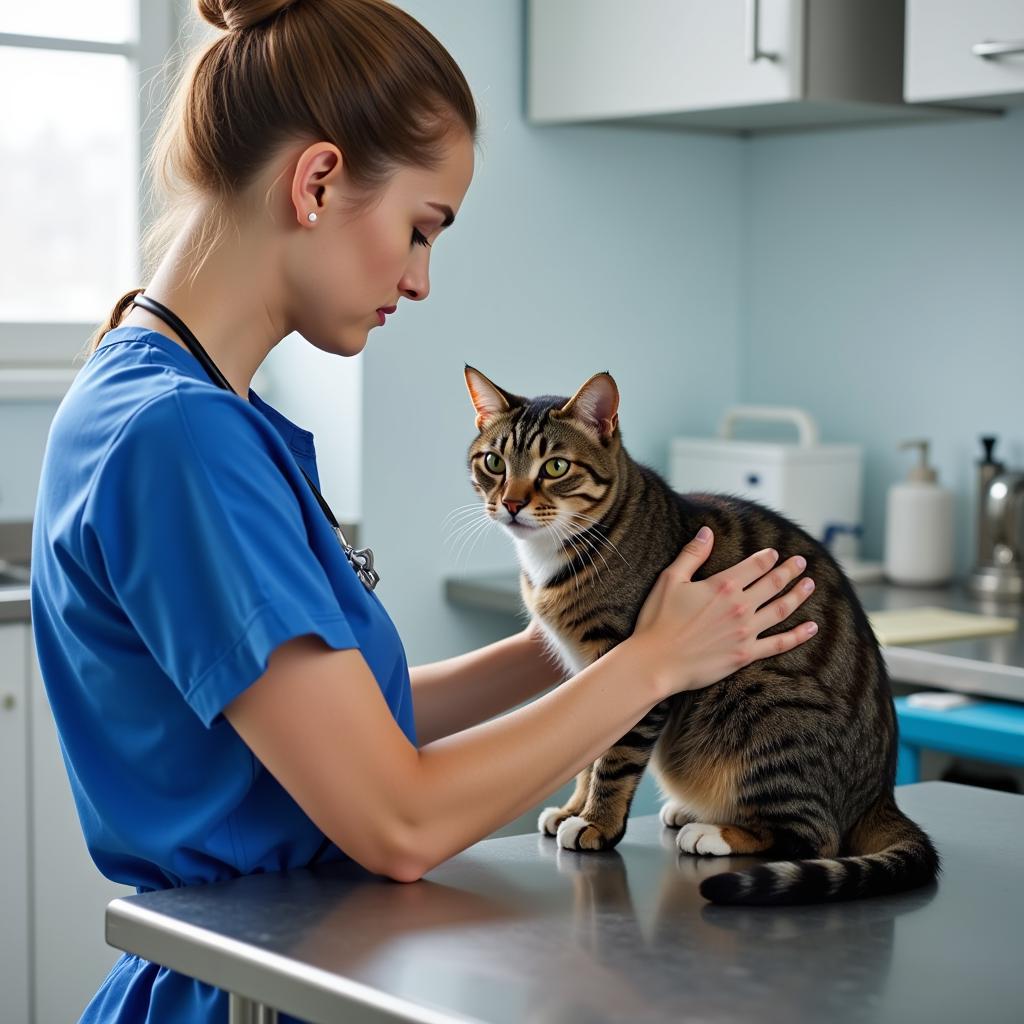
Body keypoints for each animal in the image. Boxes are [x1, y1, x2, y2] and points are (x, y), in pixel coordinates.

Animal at [460, 366, 937, 905]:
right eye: (494, 462)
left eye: (556, 466)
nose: (512, 503)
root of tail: (881, 795)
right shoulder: (589, 677)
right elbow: (586, 751)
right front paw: (574, 808)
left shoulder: (628, 671)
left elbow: (614, 759)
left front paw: (596, 823)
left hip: (760, 702)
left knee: (816, 836)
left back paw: (714, 832)